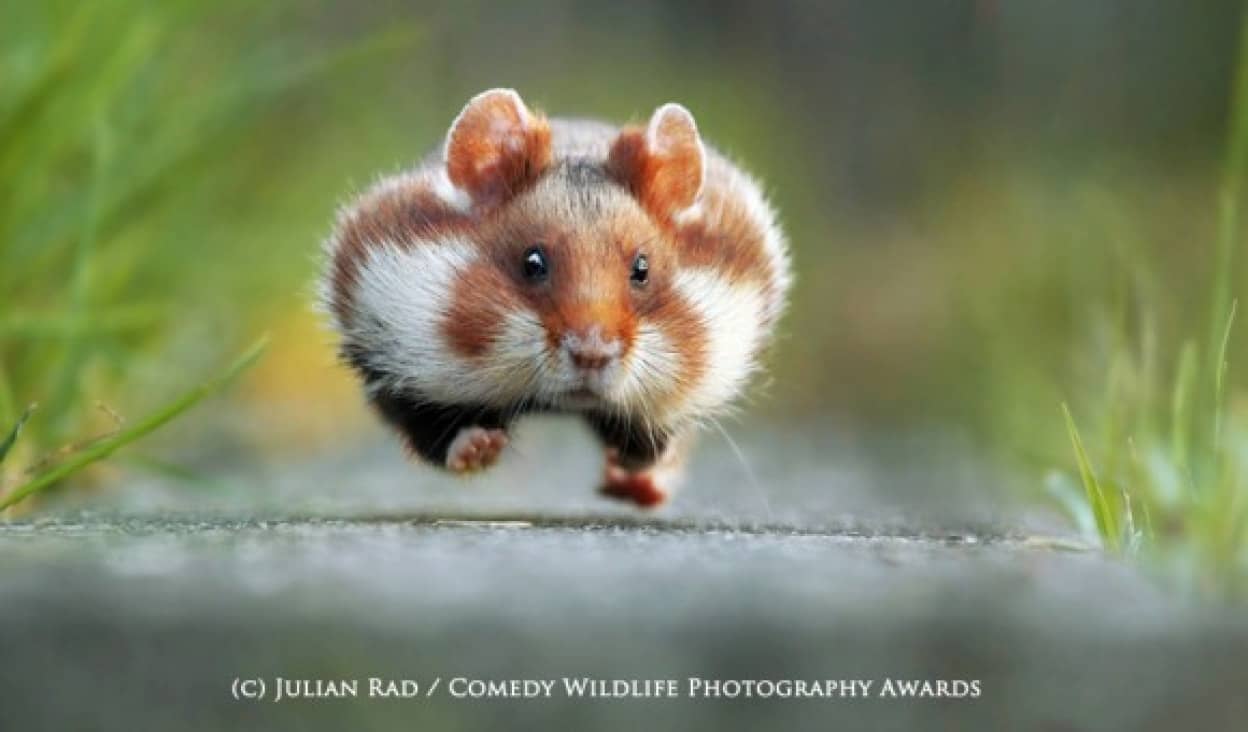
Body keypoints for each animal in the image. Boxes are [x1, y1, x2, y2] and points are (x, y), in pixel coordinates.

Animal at [319, 88, 788, 506]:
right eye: (533, 262)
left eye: (642, 269)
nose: (592, 355)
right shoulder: (395, 363)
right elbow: (436, 434)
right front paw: (481, 448)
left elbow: (654, 440)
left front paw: (627, 463)